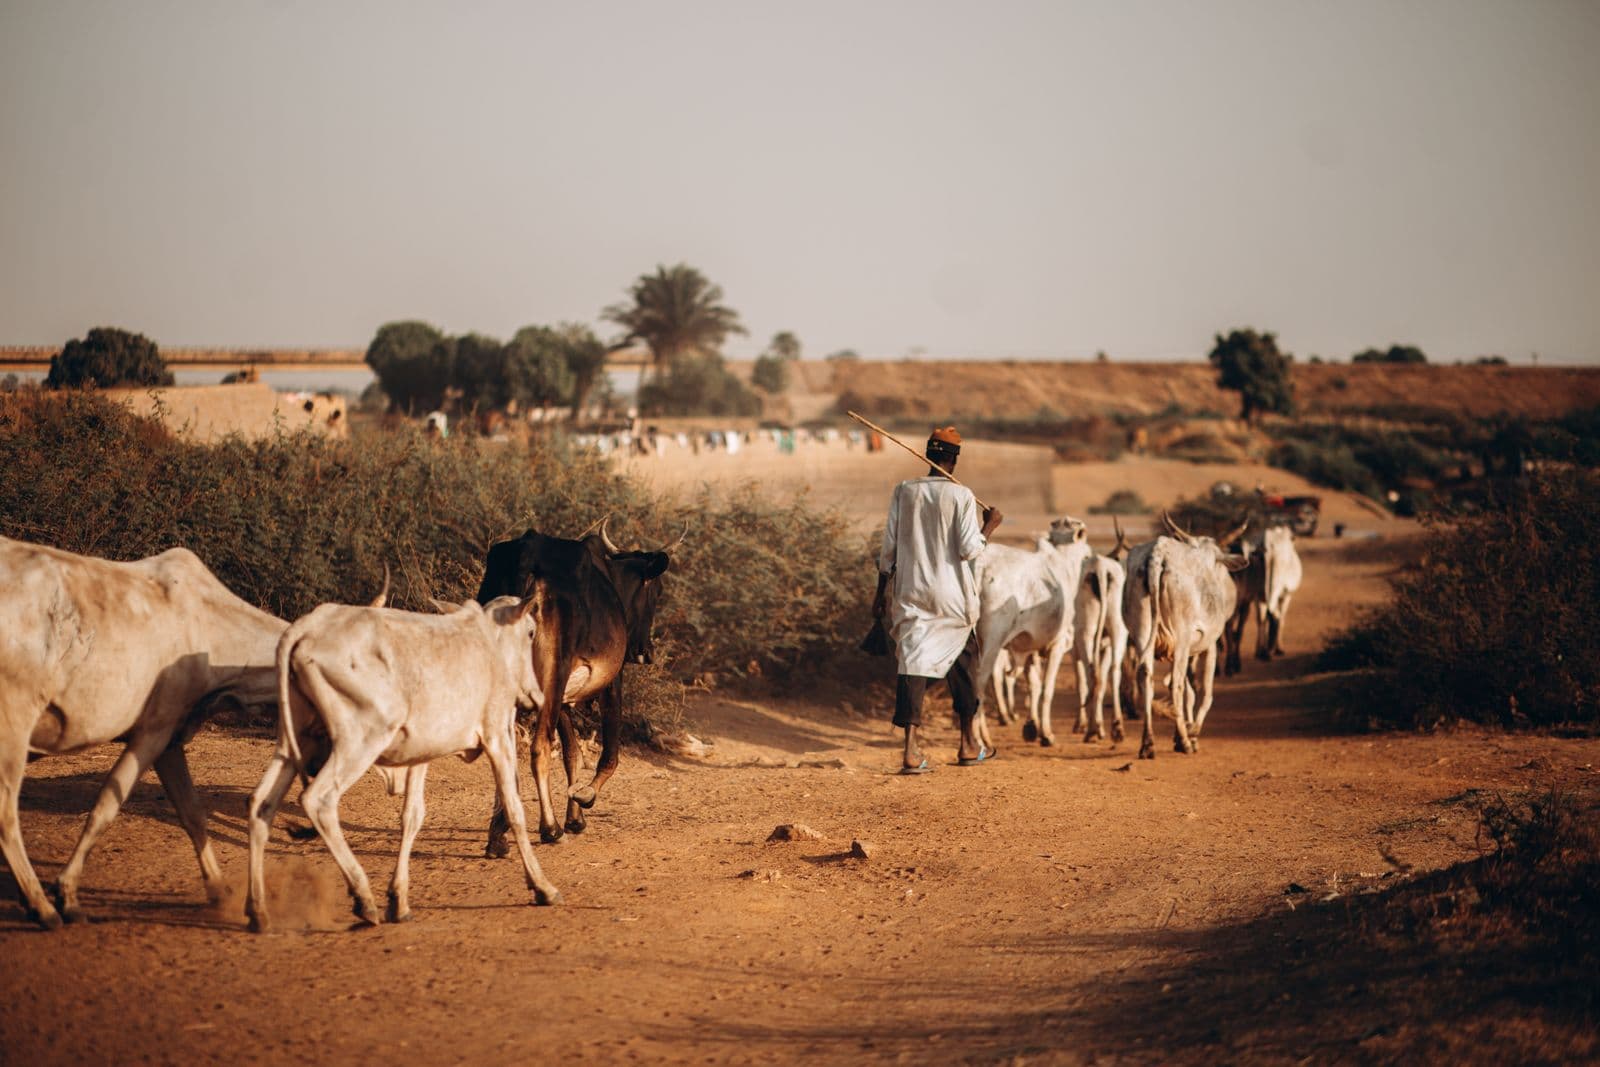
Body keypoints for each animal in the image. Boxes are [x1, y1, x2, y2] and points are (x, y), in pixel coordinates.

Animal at [0, 536, 284, 929]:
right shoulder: (153, 731)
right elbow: (105, 808)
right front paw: (67, 893)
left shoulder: (172, 739)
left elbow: (192, 814)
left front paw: (218, 888)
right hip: (13, 722)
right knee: (6, 814)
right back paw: (42, 907)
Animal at [244, 594, 562, 932]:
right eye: (531, 632)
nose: (536, 696)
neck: (491, 641)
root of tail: (306, 628)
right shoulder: (497, 736)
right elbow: (515, 809)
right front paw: (543, 886)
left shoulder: (421, 754)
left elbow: (412, 816)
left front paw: (399, 900)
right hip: (361, 739)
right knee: (318, 800)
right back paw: (363, 898)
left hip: (294, 743)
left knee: (261, 804)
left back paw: (258, 912)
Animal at [476, 517, 678, 852]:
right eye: (657, 592)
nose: (645, 652)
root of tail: (526, 559)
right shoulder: (611, 681)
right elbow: (608, 756)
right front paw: (585, 797)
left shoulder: (563, 699)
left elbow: (572, 755)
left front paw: (574, 818)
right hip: (551, 677)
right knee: (539, 748)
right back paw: (550, 828)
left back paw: (498, 835)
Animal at [972, 516, 1093, 750]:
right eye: (1087, 555)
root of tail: (980, 566)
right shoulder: (1057, 644)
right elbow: (1047, 689)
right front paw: (1046, 734)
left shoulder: (1029, 647)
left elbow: (1033, 686)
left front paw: (1031, 728)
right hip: (991, 643)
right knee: (979, 684)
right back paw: (979, 740)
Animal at [1122, 515, 1250, 759]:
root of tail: (1158, 554)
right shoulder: (1210, 644)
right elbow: (1204, 692)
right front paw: (1192, 733)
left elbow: (1190, 693)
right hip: (1180, 637)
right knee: (1177, 684)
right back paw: (1184, 740)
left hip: (1142, 631)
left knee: (1146, 674)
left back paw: (1148, 743)